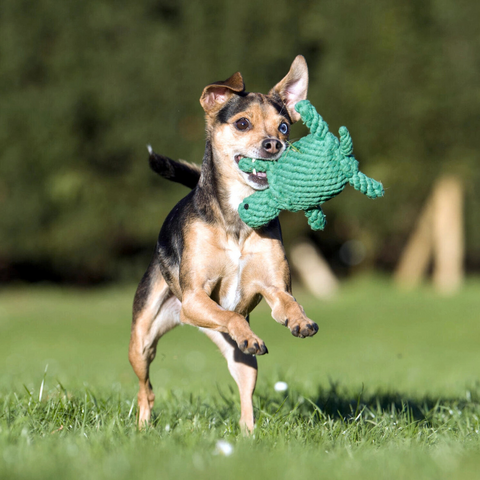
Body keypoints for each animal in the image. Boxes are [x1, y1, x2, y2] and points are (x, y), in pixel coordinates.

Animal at [129, 55, 318, 432]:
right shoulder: (196, 297)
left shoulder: (274, 287)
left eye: (284, 127)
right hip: (144, 339)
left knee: (245, 387)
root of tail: (185, 321)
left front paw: (299, 320)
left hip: (241, 359)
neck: (238, 216)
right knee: (147, 390)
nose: (274, 145)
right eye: (243, 123)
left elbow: (287, 302)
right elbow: (229, 314)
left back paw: (248, 433)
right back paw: (142, 427)